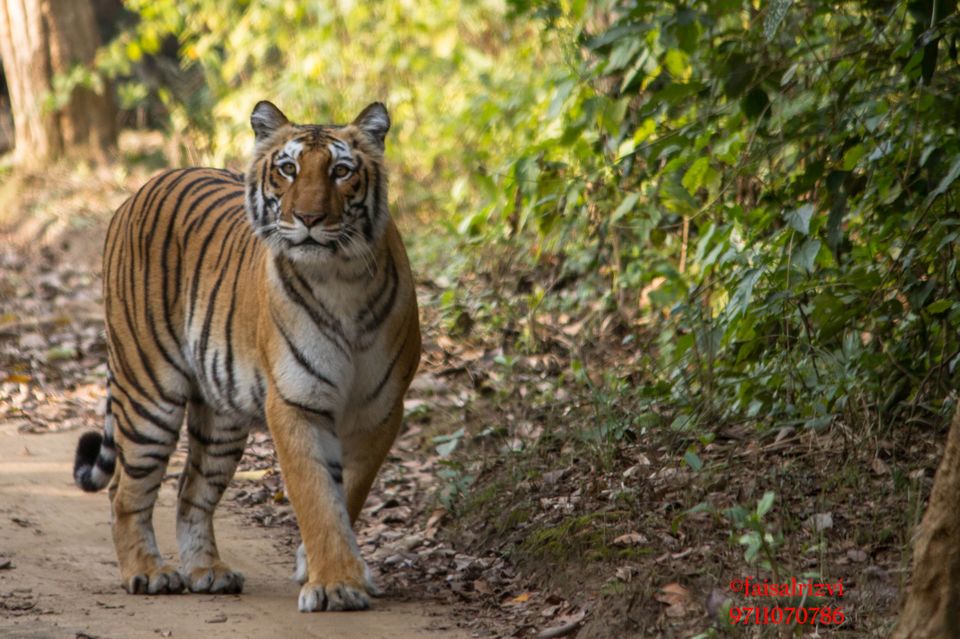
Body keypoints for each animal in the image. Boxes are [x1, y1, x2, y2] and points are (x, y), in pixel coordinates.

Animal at [73, 101, 418, 616]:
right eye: (288, 169)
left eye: (340, 172)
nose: (309, 217)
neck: (342, 278)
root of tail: (144, 187)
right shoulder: (296, 402)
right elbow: (316, 496)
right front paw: (335, 584)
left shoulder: (380, 410)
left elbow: (348, 492)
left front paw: (321, 567)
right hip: (149, 390)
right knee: (125, 491)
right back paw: (148, 573)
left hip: (221, 417)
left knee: (190, 491)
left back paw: (207, 571)